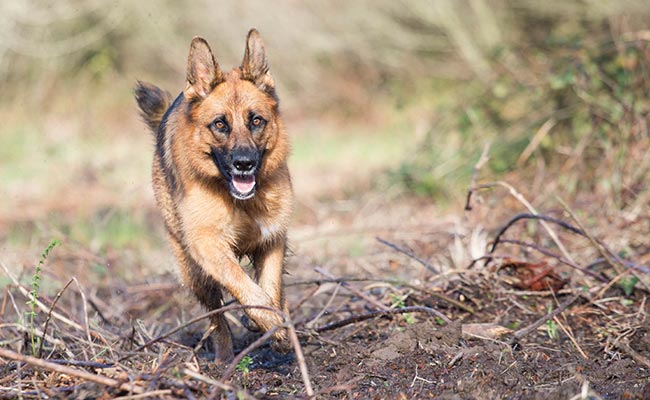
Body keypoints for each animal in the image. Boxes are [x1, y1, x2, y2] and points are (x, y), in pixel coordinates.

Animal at [134, 28, 292, 362]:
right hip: (194, 273)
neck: (239, 201)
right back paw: (223, 360)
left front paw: (274, 326)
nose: (244, 163)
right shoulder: (208, 245)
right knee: (217, 317)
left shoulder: (272, 239)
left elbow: (268, 287)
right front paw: (272, 325)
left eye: (256, 120)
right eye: (220, 124)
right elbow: (244, 286)